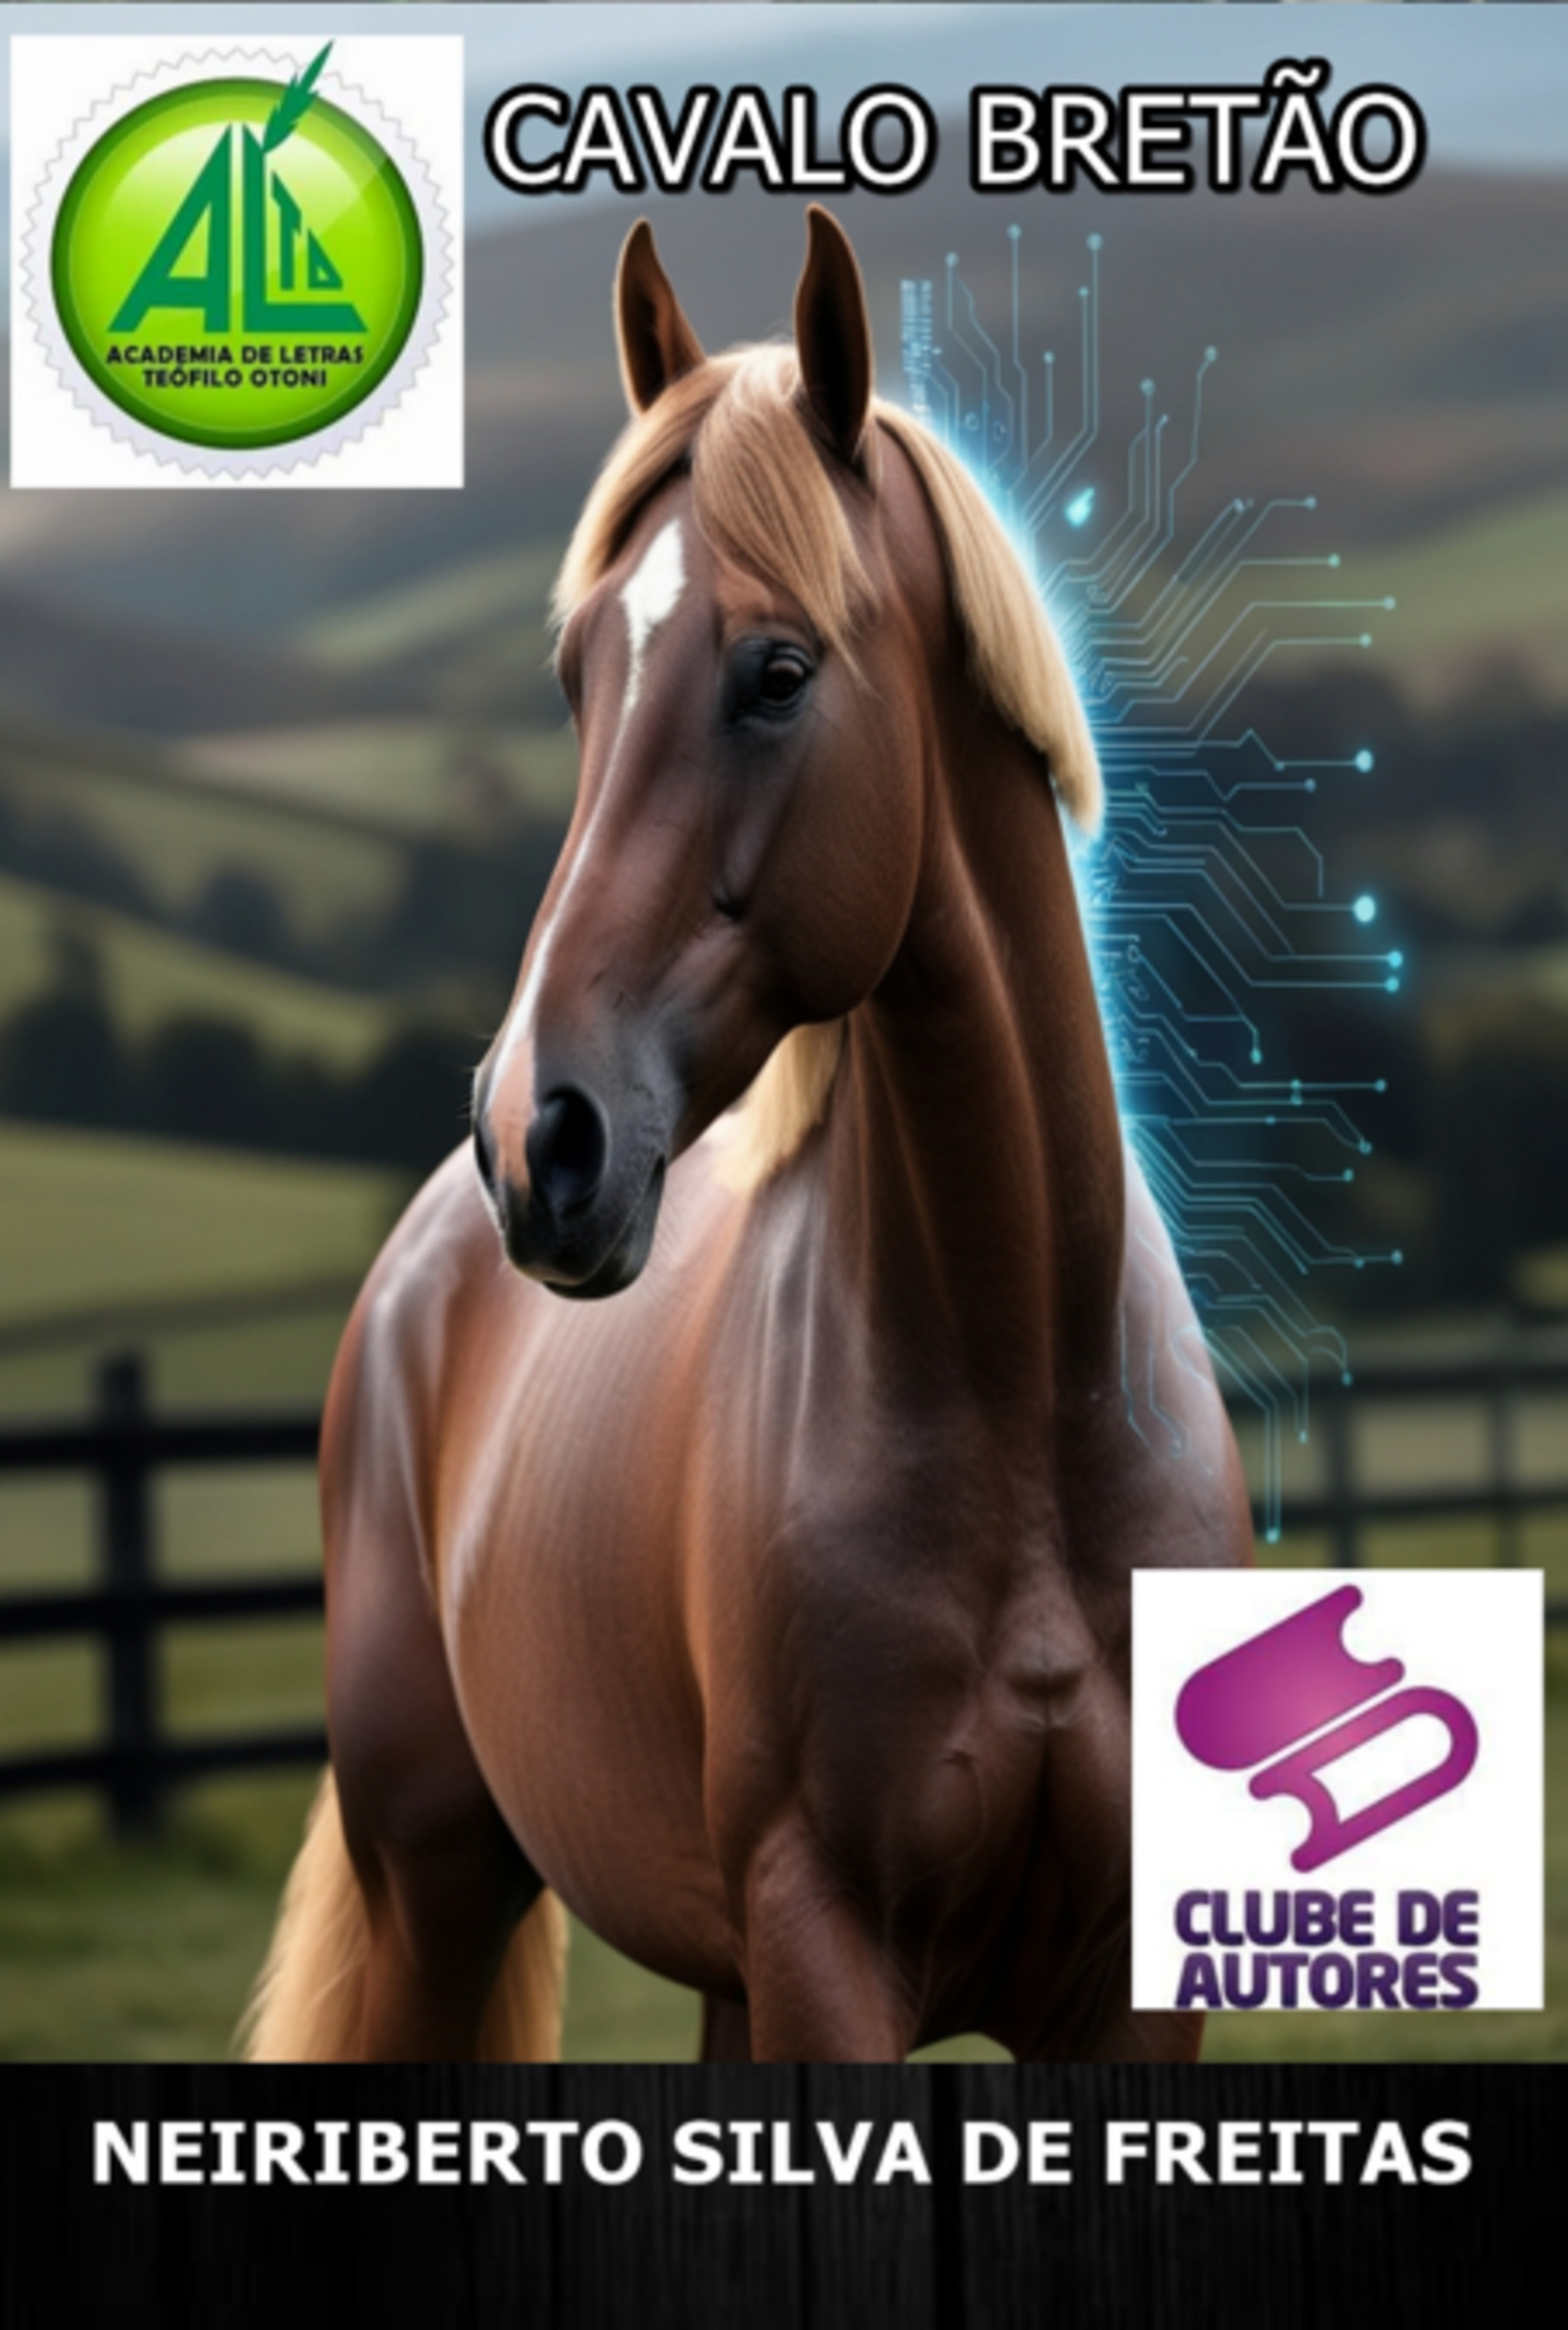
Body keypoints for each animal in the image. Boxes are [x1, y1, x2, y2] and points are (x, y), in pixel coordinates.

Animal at [242, 207, 1253, 2065]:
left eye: (776, 672)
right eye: (578, 678)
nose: (537, 1138)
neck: (1023, 1400)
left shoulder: (1121, 1997)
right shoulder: (819, 1946)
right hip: (436, 1886)